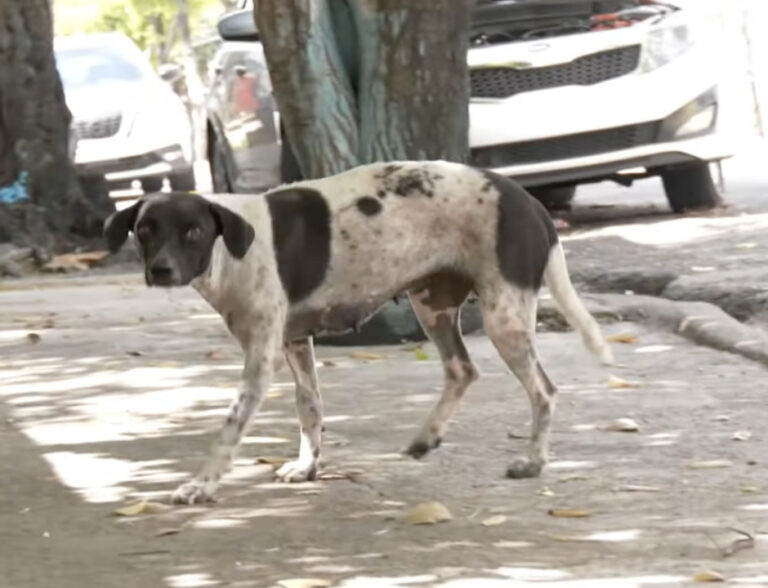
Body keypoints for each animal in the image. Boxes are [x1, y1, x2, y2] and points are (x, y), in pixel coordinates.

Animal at [103, 161, 612, 506]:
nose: (160, 270)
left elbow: (229, 429)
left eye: (192, 231)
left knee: (543, 390)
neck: (232, 251)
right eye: (145, 229)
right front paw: (307, 466)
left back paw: (533, 462)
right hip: (432, 305)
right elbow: (309, 407)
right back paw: (427, 436)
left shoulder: (261, 357)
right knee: (462, 370)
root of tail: (529, 200)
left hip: (503, 316)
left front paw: (201, 484)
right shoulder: (294, 342)